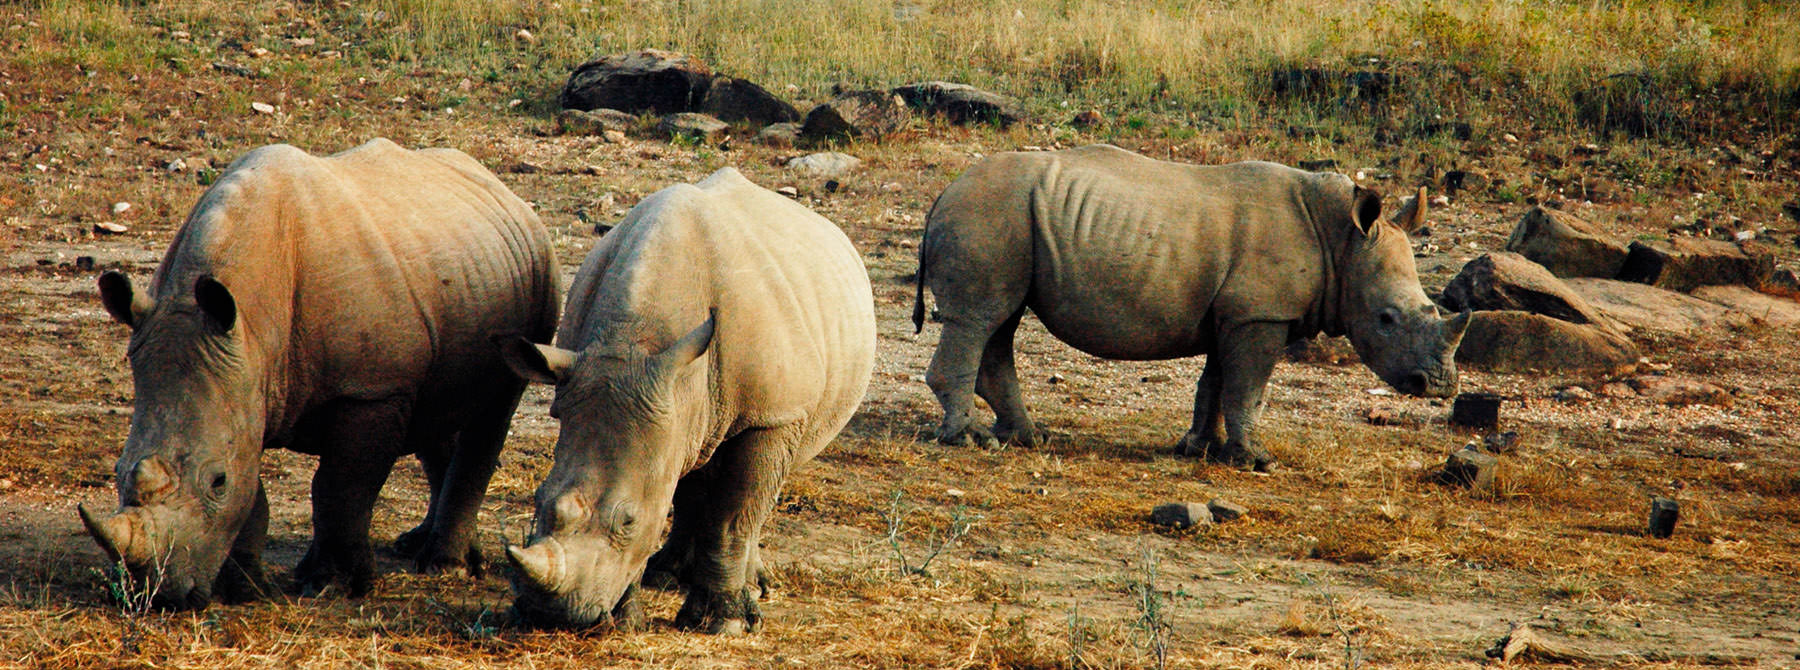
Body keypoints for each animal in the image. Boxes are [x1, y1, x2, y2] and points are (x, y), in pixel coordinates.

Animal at [81, 139, 558, 608]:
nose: (160, 596)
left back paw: (445, 567)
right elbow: (254, 488)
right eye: (118, 470)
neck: (250, 327)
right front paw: (247, 590)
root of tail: (501, 188)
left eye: (217, 481)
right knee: (438, 412)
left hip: (530, 291)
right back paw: (414, 548)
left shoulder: (371, 389)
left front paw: (333, 585)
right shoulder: (242, 382)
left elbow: (339, 488)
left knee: (492, 414)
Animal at [500, 166, 878, 633]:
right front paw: (633, 616)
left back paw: (753, 587)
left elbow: (734, 517)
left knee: (757, 491)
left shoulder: (771, 415)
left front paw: (725, 623)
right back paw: (669, 576)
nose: (549, 615)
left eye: (628, 521)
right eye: (537, 500)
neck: (633, 341)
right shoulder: (659, 395)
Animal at [914, 144, 1461, 471]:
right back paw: (968, 440)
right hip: (987, 214)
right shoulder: (1261, 314)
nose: (1437, 386)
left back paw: (1028, 438)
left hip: (1005, 218)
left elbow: (1217, 384)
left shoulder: (1237, 313)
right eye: (1386, 320)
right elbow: (1248, 389)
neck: (1341, 241)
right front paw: (1256, 460)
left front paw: (1201, 450)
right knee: (978, 319)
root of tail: (943, 193)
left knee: (999, 322)